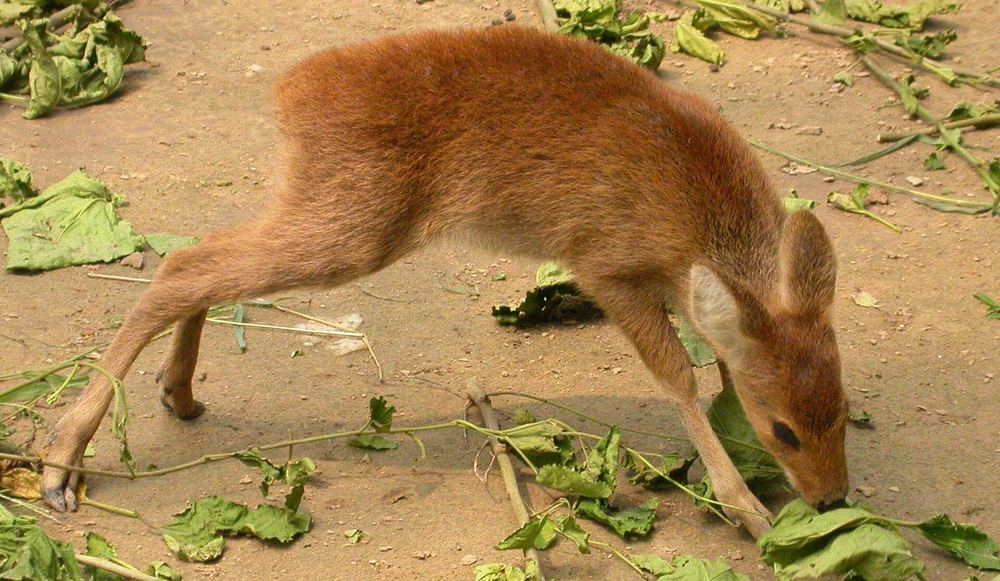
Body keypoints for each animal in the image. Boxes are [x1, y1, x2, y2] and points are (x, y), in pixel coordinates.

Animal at [40, 25, 849, 538]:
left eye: (842, 407)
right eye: (783, 428)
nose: (833, 497)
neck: (698, 207)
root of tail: (291, 92)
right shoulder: (605, 268)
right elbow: (679, 378)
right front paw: (748, 512)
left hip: (319, 214)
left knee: (199, 256)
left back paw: (178, 392)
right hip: (351, 232)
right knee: (182, 268)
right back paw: (59, 462)